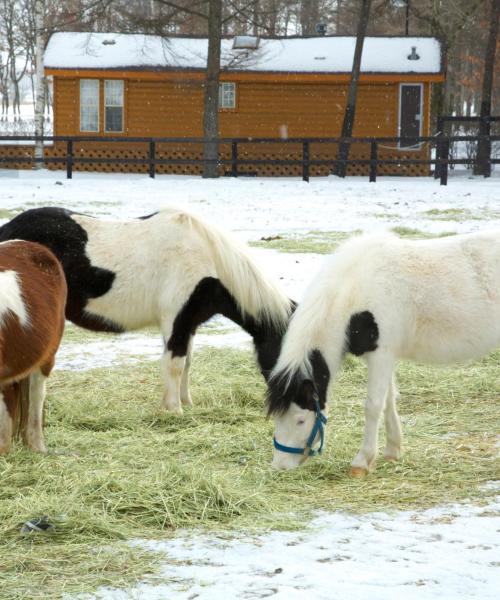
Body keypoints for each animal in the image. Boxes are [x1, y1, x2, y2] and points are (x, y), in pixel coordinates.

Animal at [0, 207, 292, 412]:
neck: (207, 258)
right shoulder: (175, 321)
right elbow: (175, 364)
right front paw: (174, 410)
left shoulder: (188, 323)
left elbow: (187, 363)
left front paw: (185, 402)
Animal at [268, 232, 500, 476]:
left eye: (300, 420)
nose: (280, 465)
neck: (356, 288)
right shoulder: (386, 358)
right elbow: (389, 401)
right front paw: (392, 450)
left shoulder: (381, 355)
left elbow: (373, 406)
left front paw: (361, 462)